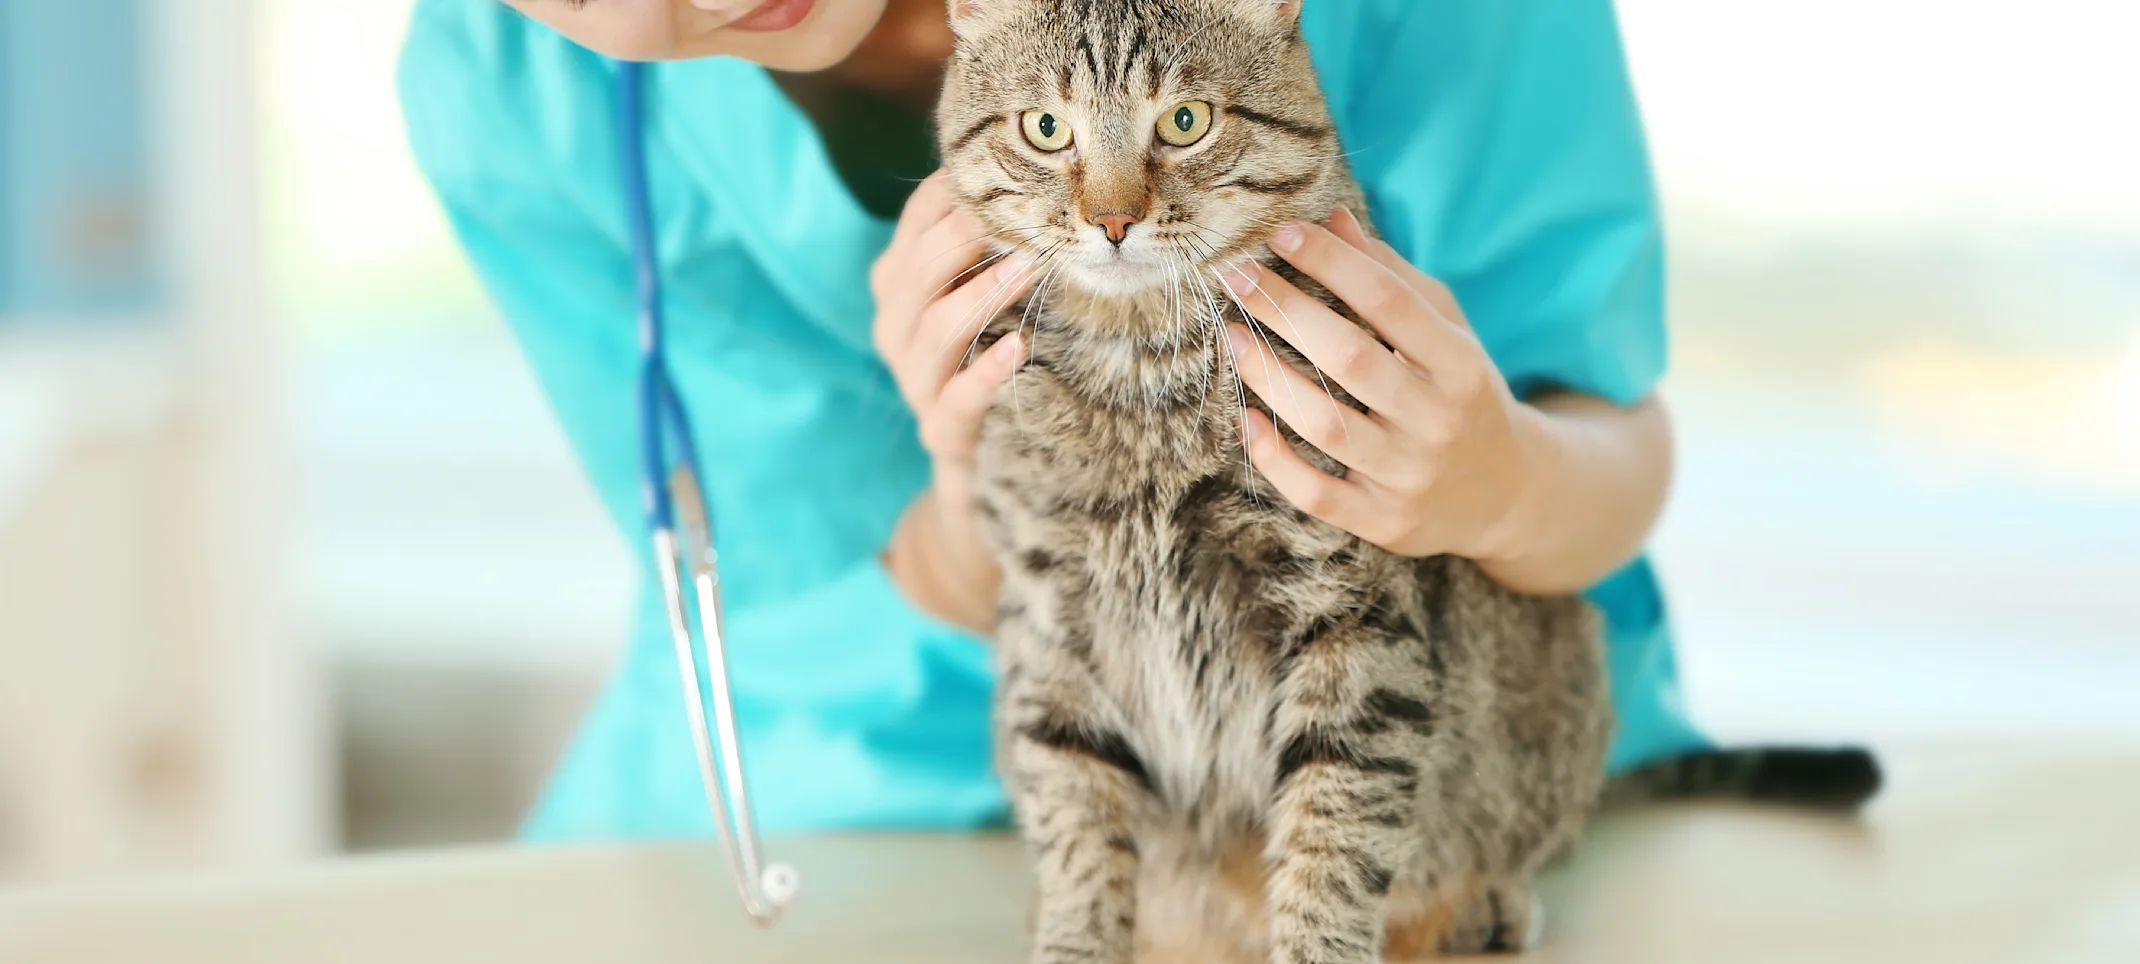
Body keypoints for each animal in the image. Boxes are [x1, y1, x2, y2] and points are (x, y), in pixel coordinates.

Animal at [937, 3, 1874, 959]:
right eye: (1046, 129)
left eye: (1185, 121)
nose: (1113, 219)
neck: (1137, 372)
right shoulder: (1052, 629)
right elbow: (1077, 828)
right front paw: (1073, 934)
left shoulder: (1350, 620)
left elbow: (1332, 836)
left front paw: (1318, 933)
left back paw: (1485, 905)